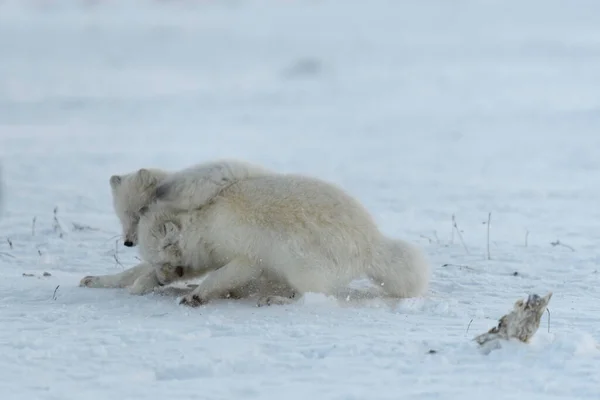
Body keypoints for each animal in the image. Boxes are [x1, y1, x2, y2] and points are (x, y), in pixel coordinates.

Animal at [135, 172, 432, 306]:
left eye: (161, 260)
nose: (161, 279)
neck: (204, 223)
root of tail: (372, 244)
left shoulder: (247, 259)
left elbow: (221, 276)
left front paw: (196, 294)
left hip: (300, 265)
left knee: (313, 295)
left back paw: (278, 299)